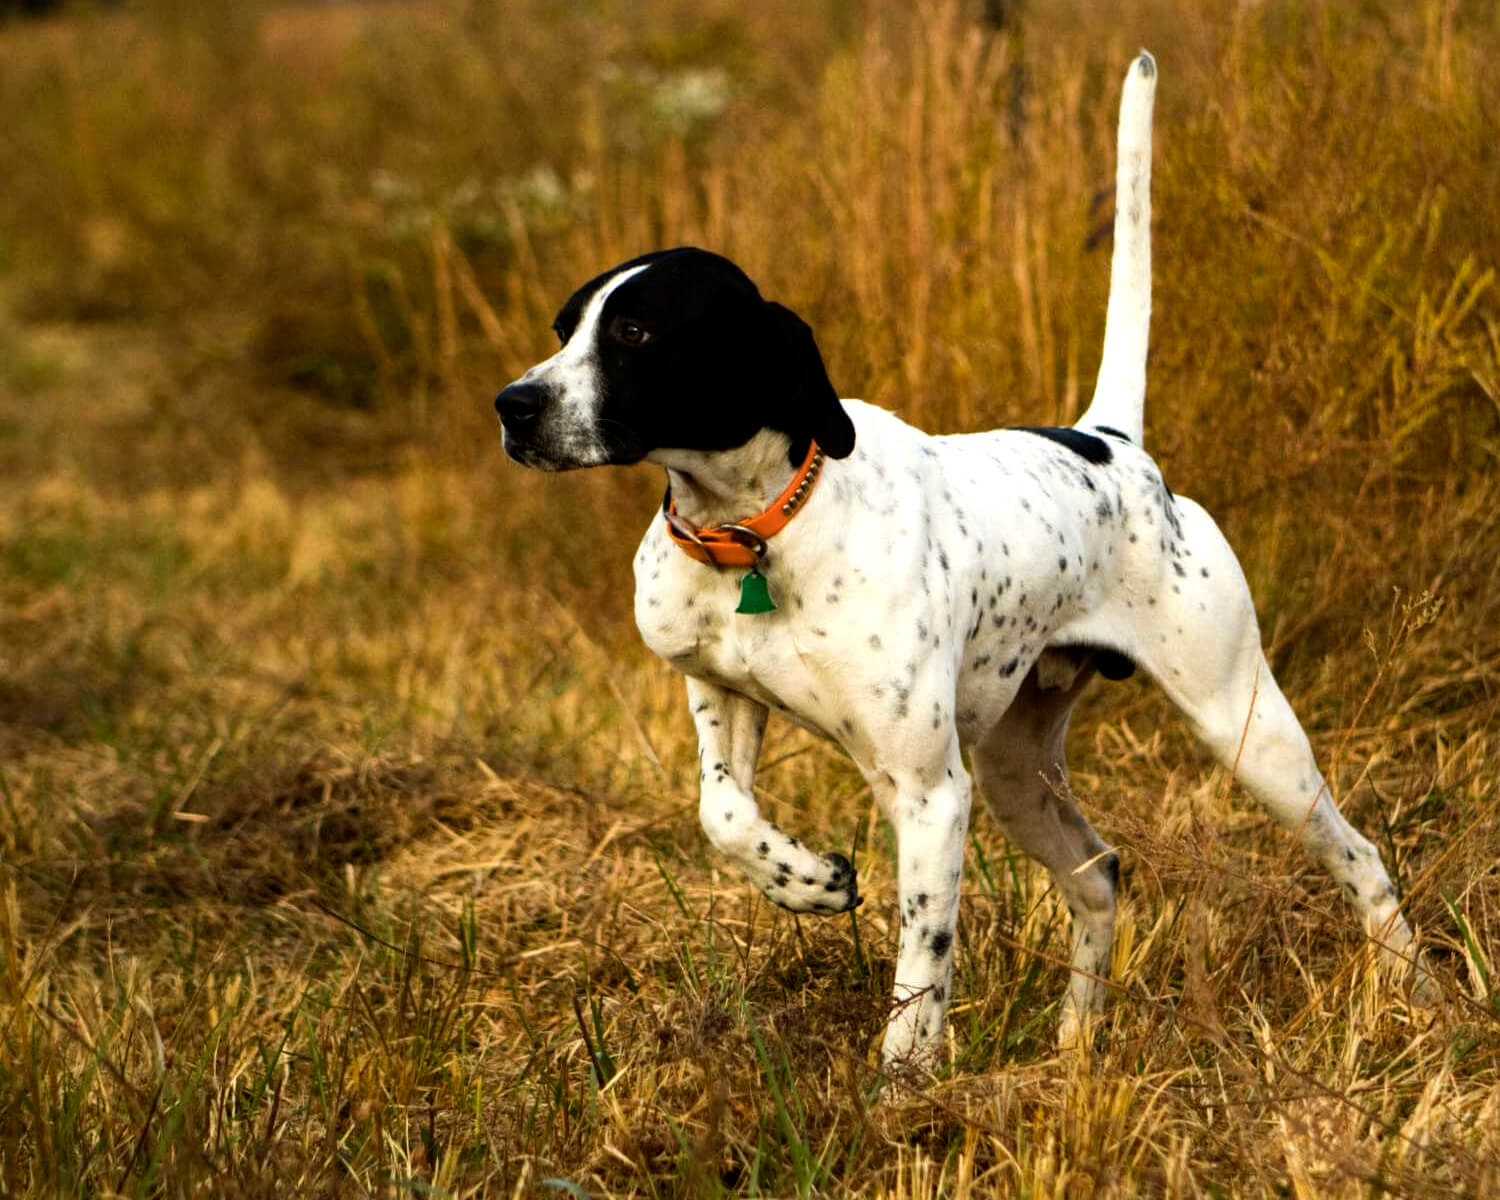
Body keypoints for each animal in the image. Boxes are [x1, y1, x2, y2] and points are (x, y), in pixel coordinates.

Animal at [495, 54, 1428, 1068]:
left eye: (635, 334)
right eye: (564, 327)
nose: (513, 405)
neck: (758, 530)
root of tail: (1114, 443)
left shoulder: (932, 793)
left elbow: (922, 961)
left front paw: (901, 1086)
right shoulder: (722, 694)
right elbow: (724, 813)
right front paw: (806, 881)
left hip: (1248, 733)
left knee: (1360, 858)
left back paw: (1411, 998)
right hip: (1019, 771)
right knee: (1099, 876)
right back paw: (1074, 1045)